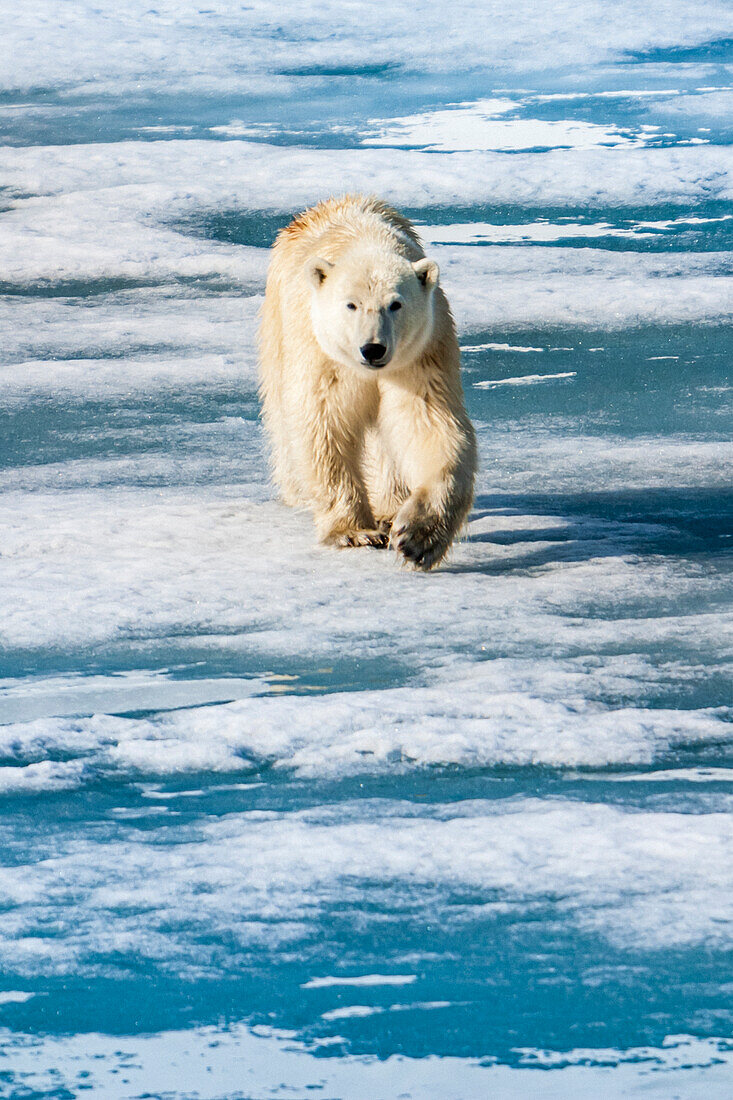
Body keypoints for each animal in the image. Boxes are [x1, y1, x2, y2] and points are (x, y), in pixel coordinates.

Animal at [255, 194, 473, 572]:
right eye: (351, 305)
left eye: (396, 304)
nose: (373, 349)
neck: (366, 241)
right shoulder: (322, 354)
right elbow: (324, 426)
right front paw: (353, 532)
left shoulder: (421, 354)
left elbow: (429, 424)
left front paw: (417, 538)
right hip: (276, 329)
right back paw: (298, 493)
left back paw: (390, 509)